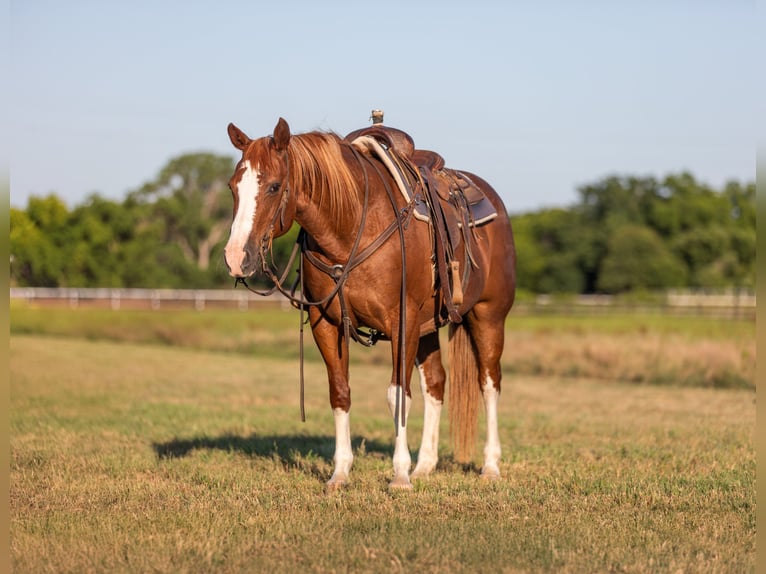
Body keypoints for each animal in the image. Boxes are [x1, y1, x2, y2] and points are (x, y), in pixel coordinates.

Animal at [223, 117, 516, 490]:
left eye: (274, 186)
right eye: (233, 187)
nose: (236, 257)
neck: (350, 229)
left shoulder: (401, 321)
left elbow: (397, 395)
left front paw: (400, 475)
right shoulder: (325, 322)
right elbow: (340, 392)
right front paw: (340, 472)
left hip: (488, 315)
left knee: (489, 383)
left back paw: (489, 466)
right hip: (427, 327)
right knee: (435, 383)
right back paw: (426, 465)